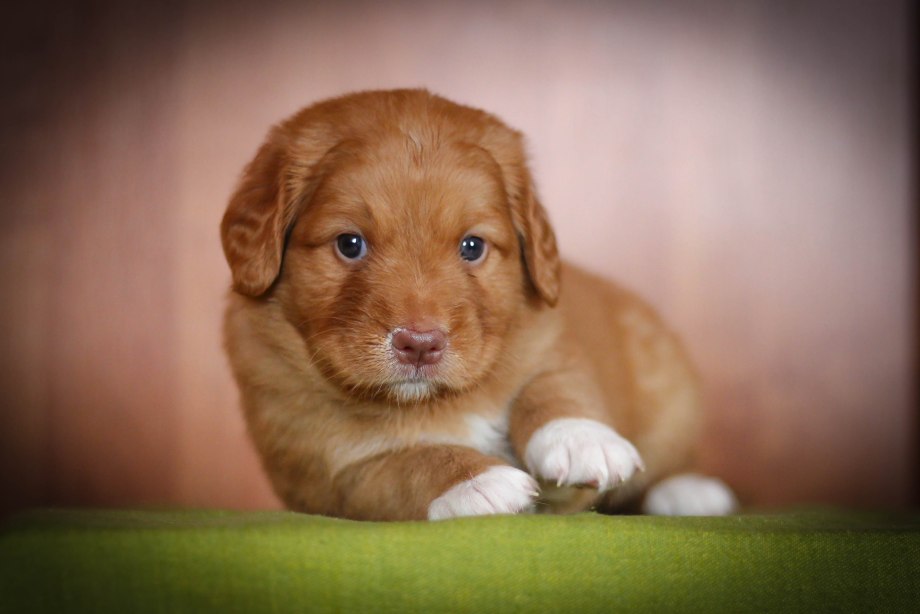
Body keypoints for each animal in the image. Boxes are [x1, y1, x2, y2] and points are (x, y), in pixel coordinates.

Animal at [219, 89, 736, 524]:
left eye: (472, 247)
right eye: (349, 244)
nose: (419, 344)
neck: (433, 401)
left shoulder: (552, 341)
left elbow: (553, 386)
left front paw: (579, 437)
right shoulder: (323, 469)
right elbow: (402, 465)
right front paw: (476, 482)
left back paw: (688, 490)